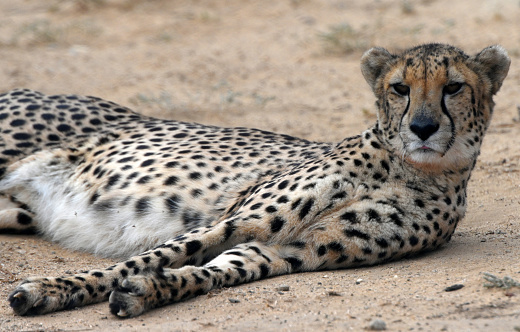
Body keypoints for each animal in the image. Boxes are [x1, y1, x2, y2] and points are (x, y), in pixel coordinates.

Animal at [2, 43, 510, 316]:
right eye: (400, 88)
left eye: (453, 87)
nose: (423, 128)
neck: (407, 167)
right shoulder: (232, 220)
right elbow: (134, 261)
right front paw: (51, 290)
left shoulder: (291, 250)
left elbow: (211, 272)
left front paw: (148, 290)